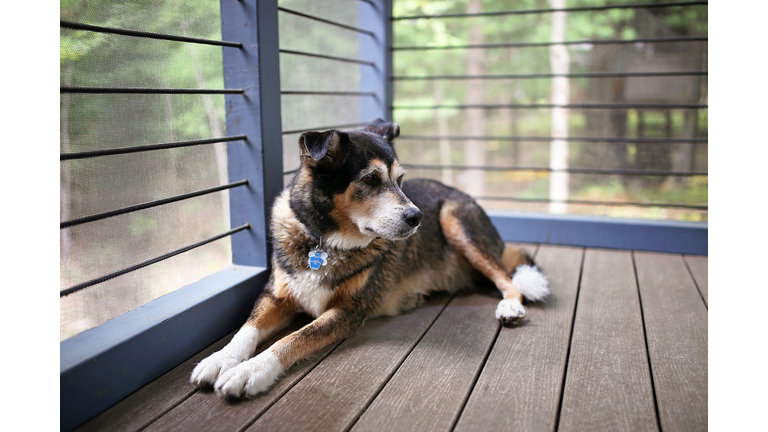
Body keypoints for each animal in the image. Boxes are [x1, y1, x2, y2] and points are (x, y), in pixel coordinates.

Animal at [192, 117, 552, 398]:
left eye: (400, 180)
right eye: (369, 179)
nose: (417, 217)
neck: (323, 242)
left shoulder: (348, 311)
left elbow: (294, 338)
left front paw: (251, 371)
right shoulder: (276, 295)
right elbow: (247, 329)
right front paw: (220, 359)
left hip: (455, 220)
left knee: (506, 277)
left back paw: (509, 306)